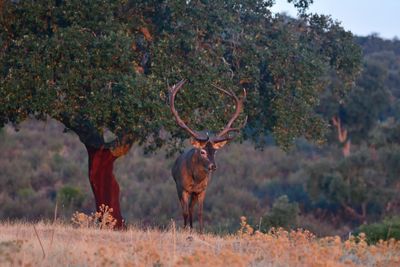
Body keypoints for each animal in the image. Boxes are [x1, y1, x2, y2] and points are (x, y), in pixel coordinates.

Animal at [168, 79, 245, 232]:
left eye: (215, 151)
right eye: (202, 152)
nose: (213, 166)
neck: (195, 180)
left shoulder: (202, 190)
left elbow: (200, 212)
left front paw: (201, 231)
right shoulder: (182, 187)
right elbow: (184, 212)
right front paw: (184, 230)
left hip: (194, 193)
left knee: (191, 209)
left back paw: (192, 228)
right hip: (179, 187)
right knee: (186, 210)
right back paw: (187, 227)